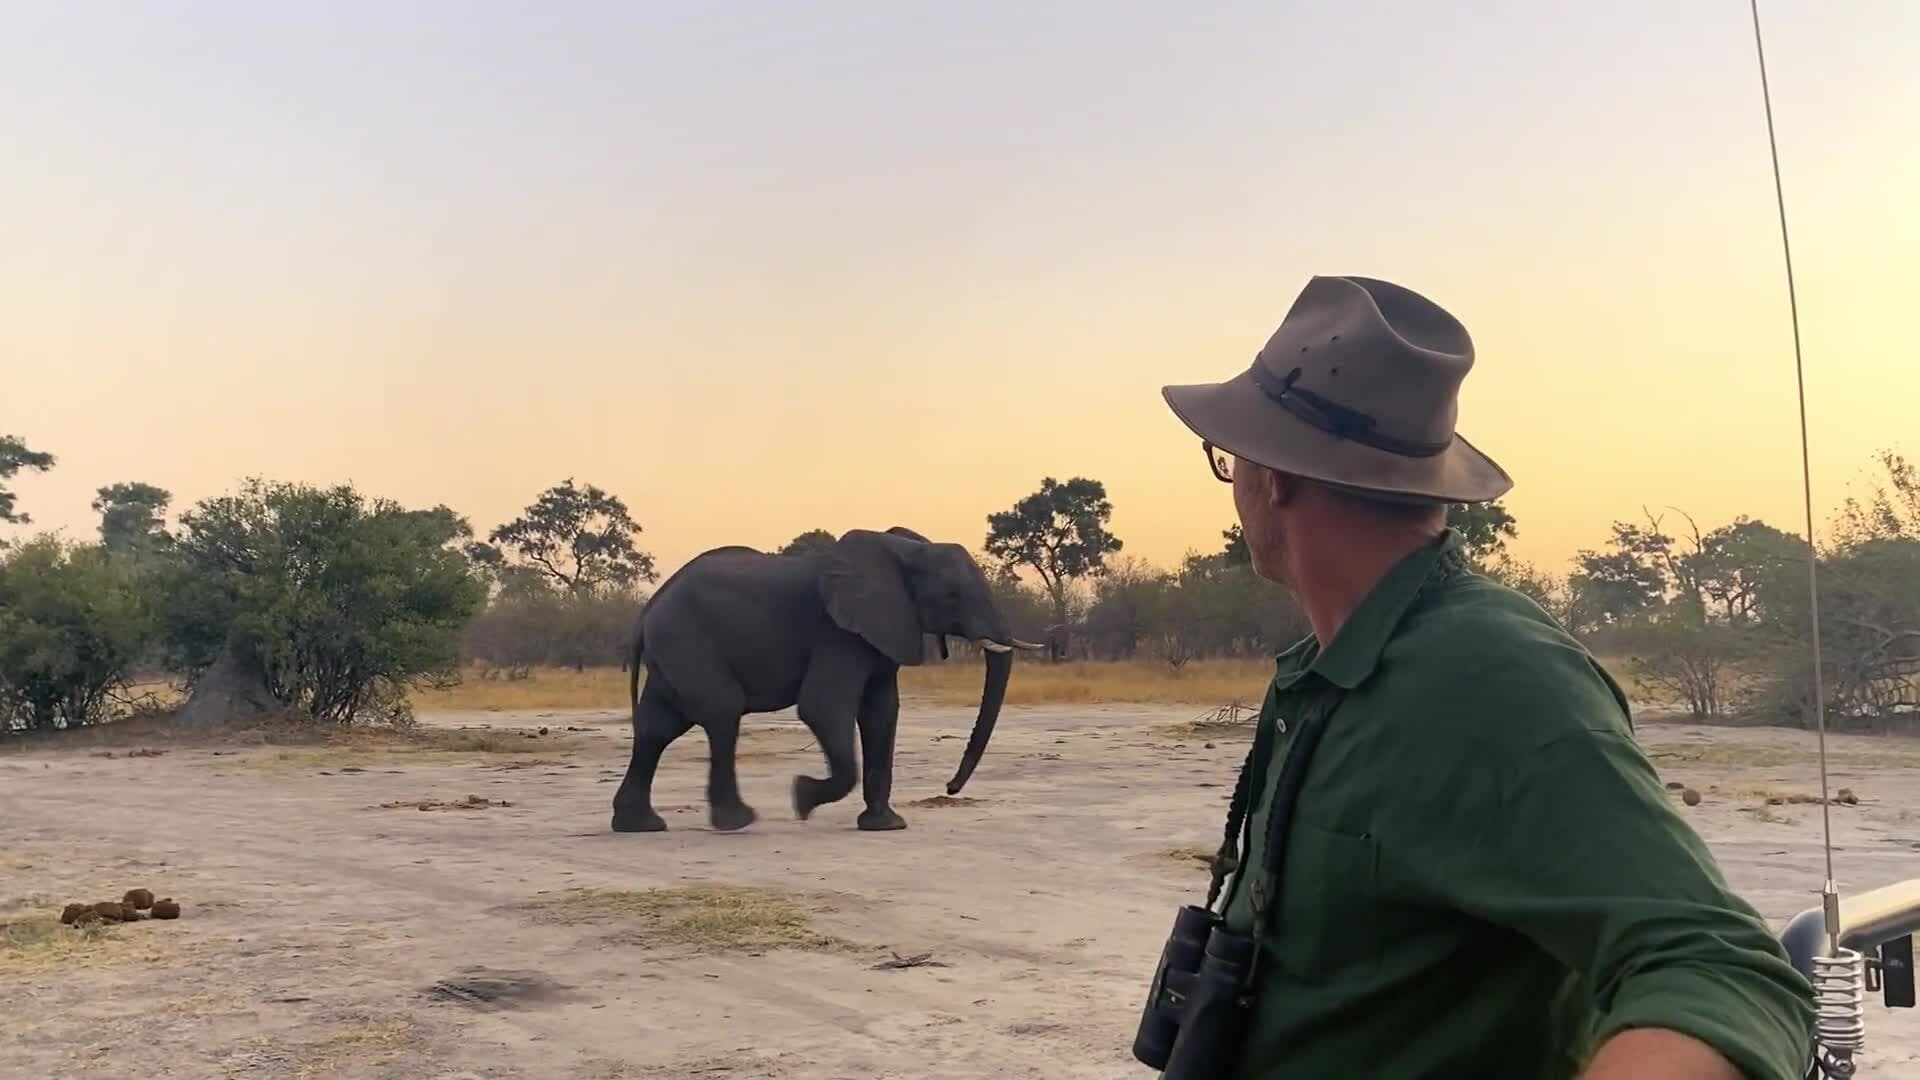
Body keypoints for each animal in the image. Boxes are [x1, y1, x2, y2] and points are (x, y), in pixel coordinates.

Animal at [610, 526, 1044, 833]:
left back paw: (640, 826)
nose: (950, 788)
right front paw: (802, 797)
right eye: (953, 594)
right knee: (721, 712)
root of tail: (648, 609)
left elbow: (881, 713)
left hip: (675, 649)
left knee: (658, 726)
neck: (901, 550)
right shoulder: (838, 632)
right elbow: (823, 707)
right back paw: (738, 821)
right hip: (686, 638)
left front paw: (886, 826)